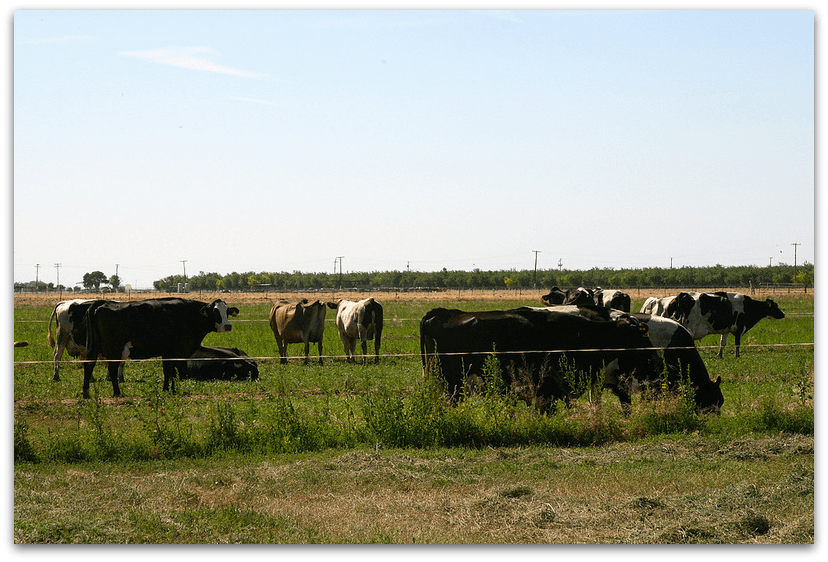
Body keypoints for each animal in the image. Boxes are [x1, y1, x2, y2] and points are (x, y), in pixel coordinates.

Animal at [82, 298, 239, 398]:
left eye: (227, 312)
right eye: (215, 312)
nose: (228, 326)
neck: (190, 315)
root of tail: (103, 303)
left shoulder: (167, 352)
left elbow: (167, 371)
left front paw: (165, 389)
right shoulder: (178, 351)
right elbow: (174, 372)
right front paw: (174, 391)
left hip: (94, 346)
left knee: (89, 365)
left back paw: (86, 393)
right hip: (115, 348)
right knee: (112, 369)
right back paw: (117, 393)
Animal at [641, 291, 785, 357]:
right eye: (776, 306)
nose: (783, 314)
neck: (747, 306)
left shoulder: (726, 329)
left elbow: (723, 343)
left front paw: (720, 355)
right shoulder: (739, 328)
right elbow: (737, 343)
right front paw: (737, 356)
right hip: (689, 326)